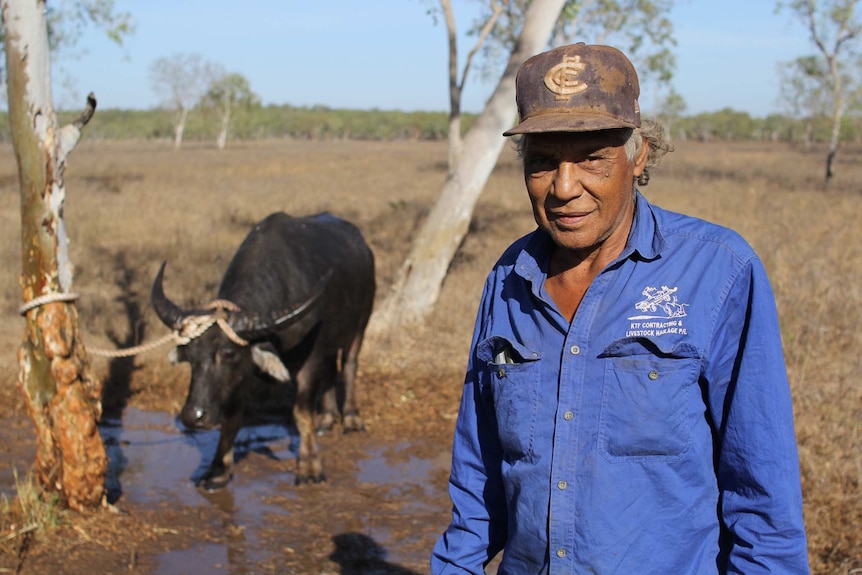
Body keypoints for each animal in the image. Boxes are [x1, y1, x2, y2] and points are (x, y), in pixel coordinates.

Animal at [152, 212, 374, 490]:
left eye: (228, 354)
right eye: (191, 357)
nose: (194, 416)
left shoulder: (310, 358)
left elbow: (301, 412)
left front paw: (310, 467)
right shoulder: (243, 374)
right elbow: (233, 417)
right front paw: (218, 470)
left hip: (361, 321)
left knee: (350, 365)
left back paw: (351, 419)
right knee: (331, 372)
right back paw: (326, 418)